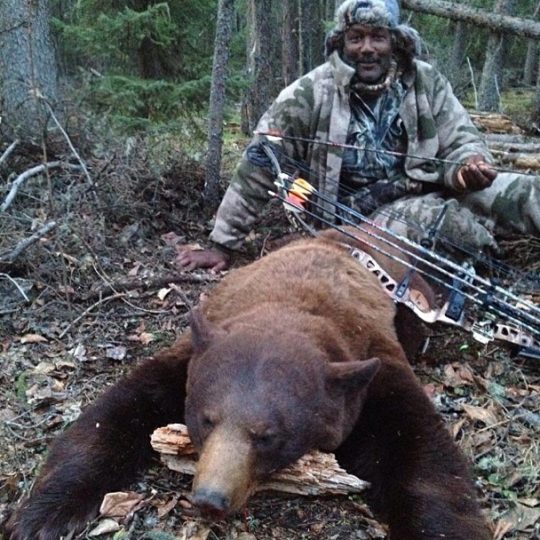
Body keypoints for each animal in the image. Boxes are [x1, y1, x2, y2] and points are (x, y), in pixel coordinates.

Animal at [6, 231, 492, 540]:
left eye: (267, 436)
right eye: (206, 419)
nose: (209, 499)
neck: (291, 306)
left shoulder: (376, 370)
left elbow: (424, 458)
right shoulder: (192, 352)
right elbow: (113, 416)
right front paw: (40, 513)